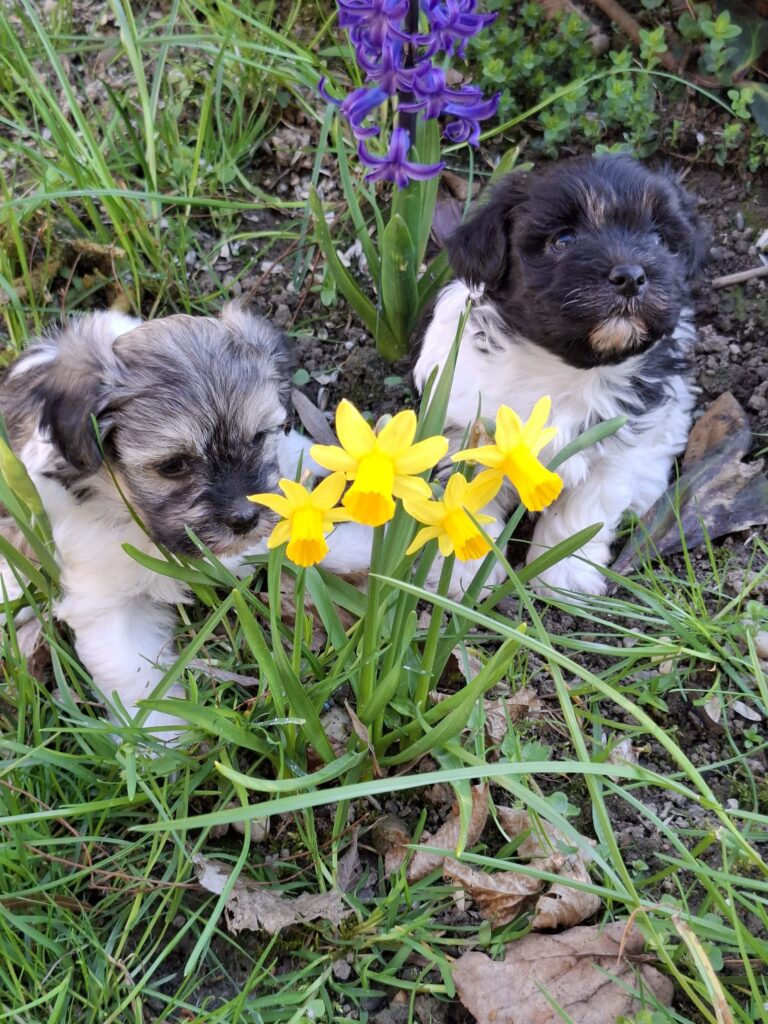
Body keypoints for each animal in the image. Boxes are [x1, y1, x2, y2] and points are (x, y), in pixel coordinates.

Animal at [0, 305, 313, 740]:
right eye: (172, 465)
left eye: (257, 438)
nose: (245, 518)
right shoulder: (107, 602)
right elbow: (134, 678)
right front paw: (155, 742)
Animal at [411, 154, 708, 596]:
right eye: (563, 241)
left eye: (658, 239)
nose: (631, 276)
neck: (564, 370)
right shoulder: (465, 427)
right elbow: (471, 495)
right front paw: (465, 569)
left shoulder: (619, 447)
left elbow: (586, 508)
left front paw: (563, 575)